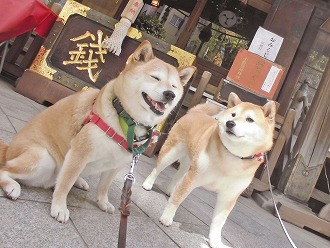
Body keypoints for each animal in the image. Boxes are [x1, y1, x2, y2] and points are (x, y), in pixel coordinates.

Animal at [0, 40, 196, 223]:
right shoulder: (79, 153)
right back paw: (13, 187)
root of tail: (8, 150)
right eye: (155, 78)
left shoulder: (117, 165)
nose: (170, 94)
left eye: (174, 86)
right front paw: (59, 207)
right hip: (42, 157)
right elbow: (64, 185)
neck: (126, 121)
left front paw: (103, 203)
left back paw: (79, 181)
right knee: (5, 170)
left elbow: (104, 187)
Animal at [142, 93, 276, 248]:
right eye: (233, 114)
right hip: (171, 153)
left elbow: (219, 223)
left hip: (188, 162)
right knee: (157, 169)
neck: (232, 156)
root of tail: (195, 112)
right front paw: (166, 217)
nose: (230, 123)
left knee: (178, 175)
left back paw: (170, 190)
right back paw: (148, 184)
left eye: (250, 119)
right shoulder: (193, 177)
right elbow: (178, 199)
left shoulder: (228, 196)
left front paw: (215, 241)